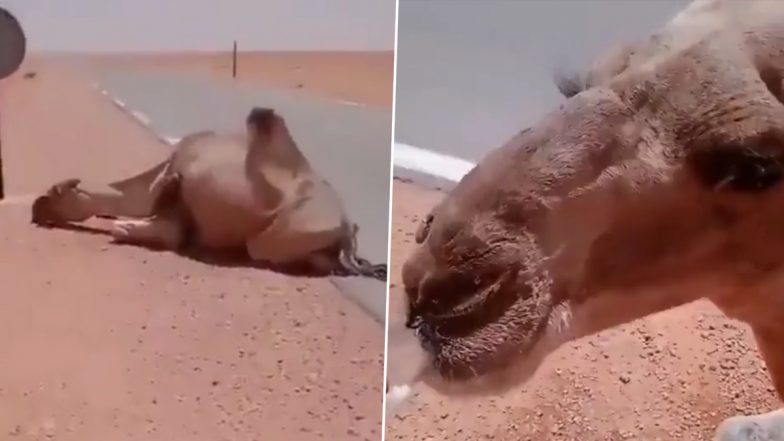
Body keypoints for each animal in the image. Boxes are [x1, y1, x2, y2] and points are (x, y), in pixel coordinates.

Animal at [31, 107, 386, 281]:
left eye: (57, 192)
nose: (37, 207)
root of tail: (347, 224)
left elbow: (171, 230)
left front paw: (125, 226)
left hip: (278, 235)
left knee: (261, 248)